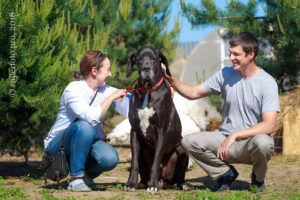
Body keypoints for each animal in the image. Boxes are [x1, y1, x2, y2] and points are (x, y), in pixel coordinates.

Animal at [123, 46, 188, 193]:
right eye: (139, 58)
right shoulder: (134, 131)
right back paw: (141, 183)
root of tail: (163, 182)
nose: (146, 68)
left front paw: (152, 185)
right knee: (143, 175)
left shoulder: (161, 131)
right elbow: (134, 162)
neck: (148, 90)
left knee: (180, 176)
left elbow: (156, 160)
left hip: (182, 151)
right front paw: (130, 183)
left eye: (154, 58)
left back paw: (182, 185)